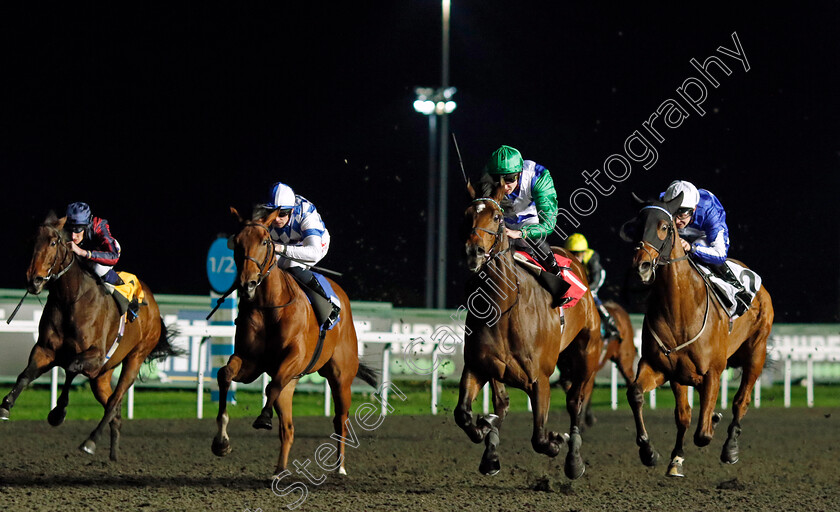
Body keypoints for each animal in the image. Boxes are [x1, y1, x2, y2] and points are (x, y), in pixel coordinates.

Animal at [0, 212, 177, 460]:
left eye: (53, 242)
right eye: (30, 243)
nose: (33, 281)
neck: (70, 299)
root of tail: (153, 305)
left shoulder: (94, 354)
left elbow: (71, 368)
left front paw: (58, 412)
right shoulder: (45, 349)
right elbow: (25, 375)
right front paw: (6, 405)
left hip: (135, 358)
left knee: (114, 402)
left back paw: (91, 441)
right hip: (102, 375)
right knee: (115, 409)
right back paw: (113, 455)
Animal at [212, 207, 378, 476]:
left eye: (265, 241)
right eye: (236, 243)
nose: (247, 284)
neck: (269, 305)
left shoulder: (294, 357)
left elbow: (271, 386)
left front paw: (263, 418)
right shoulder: (250, 362)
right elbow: (225, 374)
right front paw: (221, 441)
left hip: (341, 377)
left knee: (340, 420)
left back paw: (340, 468)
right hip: (293, 383)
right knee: (288, 428)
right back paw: (280, 469)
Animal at [452, 184, 604, 480]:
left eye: (497, 217)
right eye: (466, 215)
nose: (474, 251)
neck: (505, 309)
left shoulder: (540, 380)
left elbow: (540, 438)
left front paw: (557, 442)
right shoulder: (478, 366)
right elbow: (463, 414)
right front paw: (484, 427)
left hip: (587, 354)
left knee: (575, 402)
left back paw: (574, 460)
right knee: (501, 403)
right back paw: (490, 451)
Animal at [624, 192, 776, 476]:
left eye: (664, 227)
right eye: (638, 225)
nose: (642, 267)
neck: (679, 310)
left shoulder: (712, 372)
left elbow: (703, 434)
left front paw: (714, 420)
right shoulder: (662, 368)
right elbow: (639, 395)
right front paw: (650, 451)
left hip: (756, 352)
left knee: (741, 401)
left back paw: (730, 448)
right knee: (685, 413)